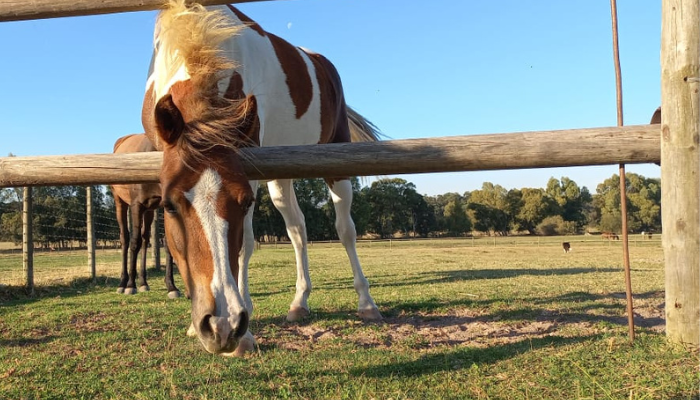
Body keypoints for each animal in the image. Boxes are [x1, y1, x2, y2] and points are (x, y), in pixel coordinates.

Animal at [111, 134, 180, 299]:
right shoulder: (137, 205)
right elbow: (134, 242)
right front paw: (130, 285)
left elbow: (167, 244)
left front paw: (171, 286)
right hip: (120, 202)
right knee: (125, 238)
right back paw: (123, 283)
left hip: (149, 210)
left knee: (145, 238)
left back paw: (143, 282)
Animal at [142, 1, 382, 355]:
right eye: (169, 206)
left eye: (245, 202)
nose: (220, 326)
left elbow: (246, 244)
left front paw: (245, 333)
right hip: (281, 174)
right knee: (297, 229)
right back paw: (299, 302)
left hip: (335, 164)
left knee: (345, 230)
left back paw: (366, 303)